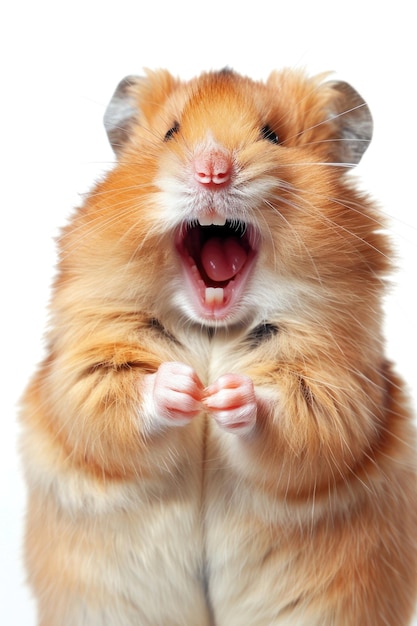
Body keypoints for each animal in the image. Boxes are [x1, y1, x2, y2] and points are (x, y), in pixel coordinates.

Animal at [20, 68, 416, 624]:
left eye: (273, 135)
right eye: (171, 132)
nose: (213, 172)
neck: (213, 328)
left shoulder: (337, 378)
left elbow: (304, 417)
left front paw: (226, 393)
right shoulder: (88, 360)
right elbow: (109, 397)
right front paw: (185, 387)